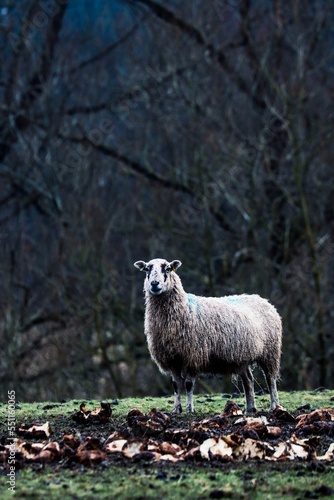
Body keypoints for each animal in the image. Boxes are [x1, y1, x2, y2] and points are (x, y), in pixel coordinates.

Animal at [133, 258, 282, 414]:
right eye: (147, 269)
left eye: (167, 269)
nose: (154, 283)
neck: (184, 308)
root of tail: (264, 300)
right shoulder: (173, 359)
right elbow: (176, 385)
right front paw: (176, 409)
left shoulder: (193, 356)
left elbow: (188, 384)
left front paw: (189, 409)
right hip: (242, 357)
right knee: (248, 380)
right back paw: (250, 408)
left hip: (270, 352)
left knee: (270, 379)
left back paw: (274, 406)